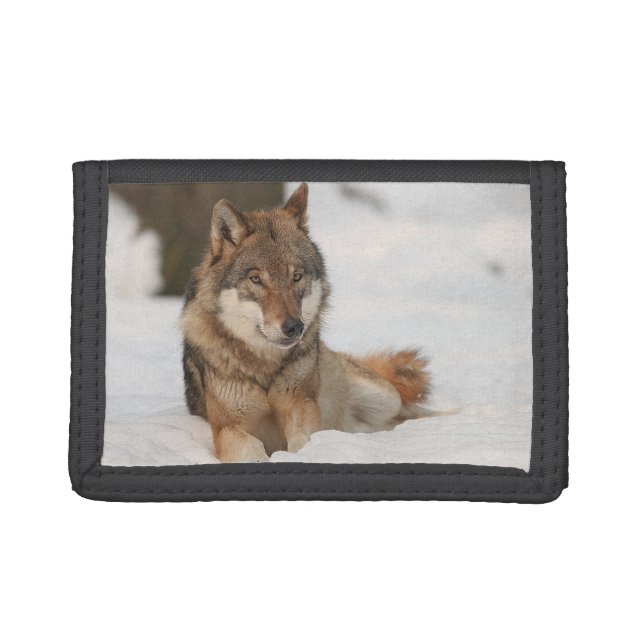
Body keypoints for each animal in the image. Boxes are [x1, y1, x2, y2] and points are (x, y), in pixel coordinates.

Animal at [181, 183, 432, 462]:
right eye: (256, 279)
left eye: (297, 276)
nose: (294, 327)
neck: (265, 368)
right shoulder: (227, 426)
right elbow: (250, 448)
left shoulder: (302, 405)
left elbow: (304, 440)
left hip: (386, 398)